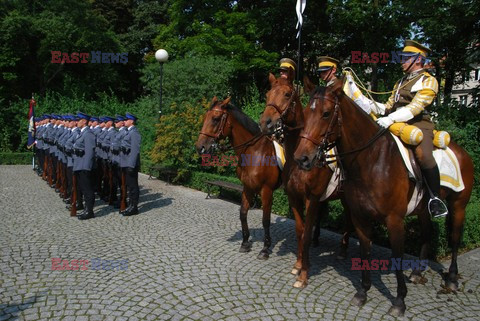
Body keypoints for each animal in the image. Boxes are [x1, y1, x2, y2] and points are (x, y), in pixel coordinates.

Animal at [195, 96, 282, 258]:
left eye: (216, 119)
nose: (200, 147)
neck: (255, 152)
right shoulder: (247, 188)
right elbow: (243, 213)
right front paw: (245, 243)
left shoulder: (266, 191)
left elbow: (266, 220)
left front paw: (265, 248)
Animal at [258, 73, 352, 288]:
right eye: (268, 93)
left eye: (286, 94)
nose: (265, 123)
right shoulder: (294, 197)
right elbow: (300, 231)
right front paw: (298, 265)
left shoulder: (312, 199)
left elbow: (306, 234)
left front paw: (304, 275)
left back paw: (343, 252)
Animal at [294, 79, 474, 316]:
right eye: (305, 113)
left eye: (325, 113)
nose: (302, 158)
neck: (372, 160)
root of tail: (462, 151)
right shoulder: (360, 218)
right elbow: (365, 251)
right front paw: (363, 292)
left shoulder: (394, 220)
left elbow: (397, 256)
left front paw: (399, 301)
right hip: (422, 210)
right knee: (426, 233)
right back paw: (418, 272)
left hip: (459, 205)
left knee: (454, 238)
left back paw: (452, 278)